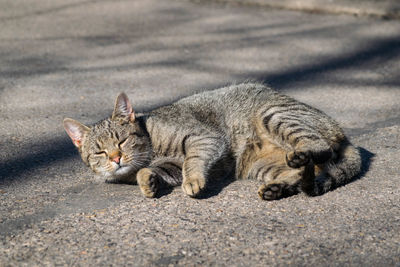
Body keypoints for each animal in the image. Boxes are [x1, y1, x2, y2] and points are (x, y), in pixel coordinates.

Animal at [63, 84, 362, 201]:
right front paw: (147, 181)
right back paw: (277, 188)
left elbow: (193, 161)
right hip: (261, 166)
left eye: (122, 141)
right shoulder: (171, 166)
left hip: (275, 115)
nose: (116, 158)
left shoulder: (204, 138)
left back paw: (303, 155)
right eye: (100, 152)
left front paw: (193, 180)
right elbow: (153, 172)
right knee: (302, 175)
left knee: (319, 147)